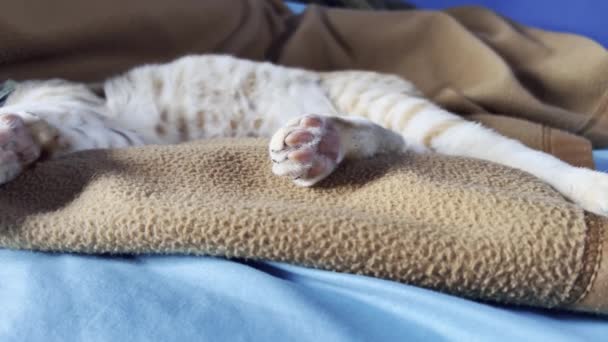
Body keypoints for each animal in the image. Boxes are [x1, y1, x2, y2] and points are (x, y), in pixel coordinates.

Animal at [1, 55, 608, 216]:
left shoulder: (87, 110)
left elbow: (41, 116)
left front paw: (13, 136)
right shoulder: (110, 133)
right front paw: (18, 146)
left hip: (410, 113)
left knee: (523, 156)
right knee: (388, 143)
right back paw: (318, 145)